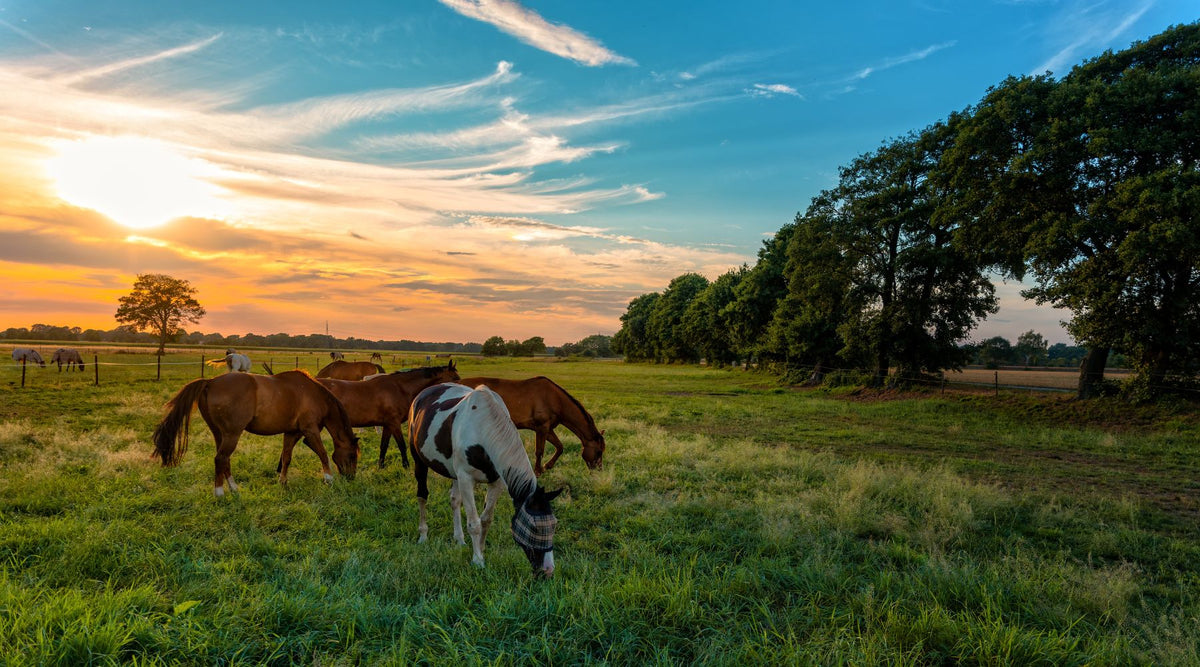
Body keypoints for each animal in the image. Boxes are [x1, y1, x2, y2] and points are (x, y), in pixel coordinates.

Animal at [151, 370, 360, 496]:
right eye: (352, 455)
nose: (351, 478)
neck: (312, 393)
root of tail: (210, 382)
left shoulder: (291, 433)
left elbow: (286, 458)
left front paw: (283, 481)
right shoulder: (310, 430)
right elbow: (323, 454)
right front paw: (329, 479)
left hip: (220, 435)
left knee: (224, 460)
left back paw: (234, 488)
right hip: (232, 434)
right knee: (220, 459)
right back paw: (219, 492)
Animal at [307, 361, 459, 469]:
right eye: (455, 378)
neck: (399, 388)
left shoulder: (387, 425)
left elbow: (384, 446)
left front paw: (381, 466)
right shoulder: (394, 424)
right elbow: (402, 445)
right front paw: (406, 466)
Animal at [409, 383, 562, 577]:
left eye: (554, 525)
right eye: (534, 527)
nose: (548, 570)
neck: (482, 428)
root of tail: (423, 394)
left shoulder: (496, 481)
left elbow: (486, 519)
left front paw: (481, 550)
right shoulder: (466, 479)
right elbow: (474, 523)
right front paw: (478, 561)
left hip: (454, 473)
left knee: (454, 500)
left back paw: (459, 539)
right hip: (419, 460)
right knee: (422, 495)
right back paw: (423, 535)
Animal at [458, 376, 606, 474]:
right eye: (599, 451)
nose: (599, 470)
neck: (555, 399)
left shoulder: (548, 429)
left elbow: (560, 447)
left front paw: (547, 466)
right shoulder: (542, 428)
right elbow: (539, 451)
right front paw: (538, 471)